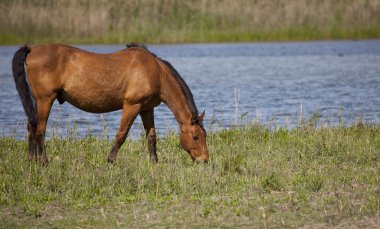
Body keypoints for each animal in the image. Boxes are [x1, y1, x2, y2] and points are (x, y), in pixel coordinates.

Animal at [11, 43, 209, 164]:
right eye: (196, 137)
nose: (204, 160)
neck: (155, 72)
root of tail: (32, 49)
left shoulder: (147, 108)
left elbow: (151, 136)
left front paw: (154, 162)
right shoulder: (132, 105)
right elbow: (122, 134)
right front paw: (110, 160)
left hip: (38, 101)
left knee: (31, 126)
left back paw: (31, 160)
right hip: (45, 99)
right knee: (40, 129)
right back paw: (44, 161)